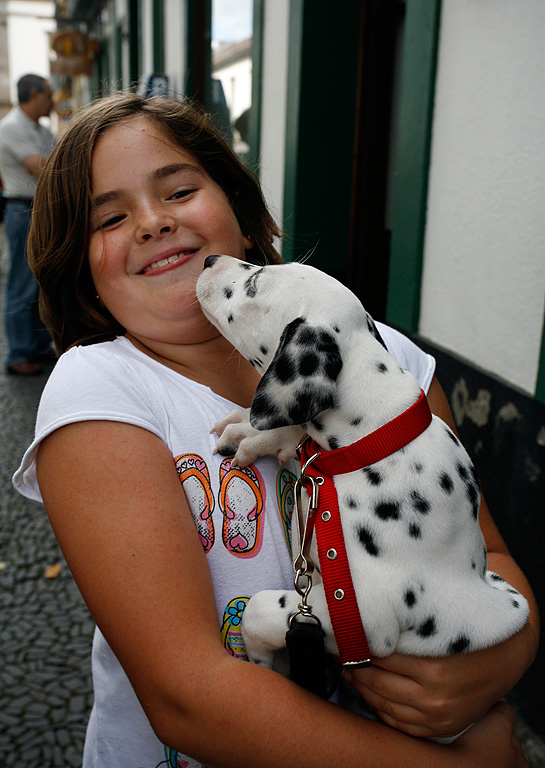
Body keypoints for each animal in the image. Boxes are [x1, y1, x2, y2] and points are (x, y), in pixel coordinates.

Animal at [194, 255, 528, 668]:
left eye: (254, 284)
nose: (209, 259)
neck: (369, 441)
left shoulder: (361, 612)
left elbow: (259, 608)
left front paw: (262, 658)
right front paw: (253, 433)